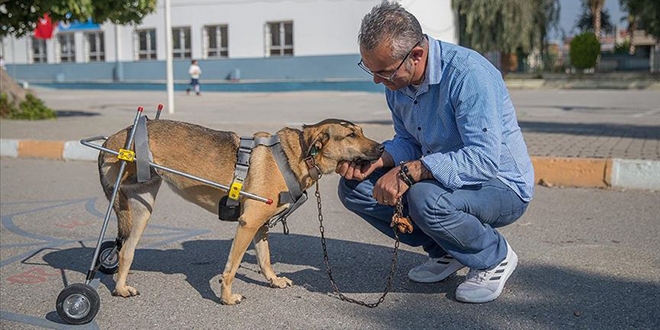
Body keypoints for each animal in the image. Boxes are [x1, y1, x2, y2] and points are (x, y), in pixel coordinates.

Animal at [100, 118, 384, 304]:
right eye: (350, 136)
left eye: (361, 131)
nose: (382, 148)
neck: (296, 156)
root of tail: (116, 136)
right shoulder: (248, 224)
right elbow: (232, 267)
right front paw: (226, 297)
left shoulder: (260, 227)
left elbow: (265, 259)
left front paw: (273, 280)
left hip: (142, 210)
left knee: (125, 251)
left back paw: (121, 288)